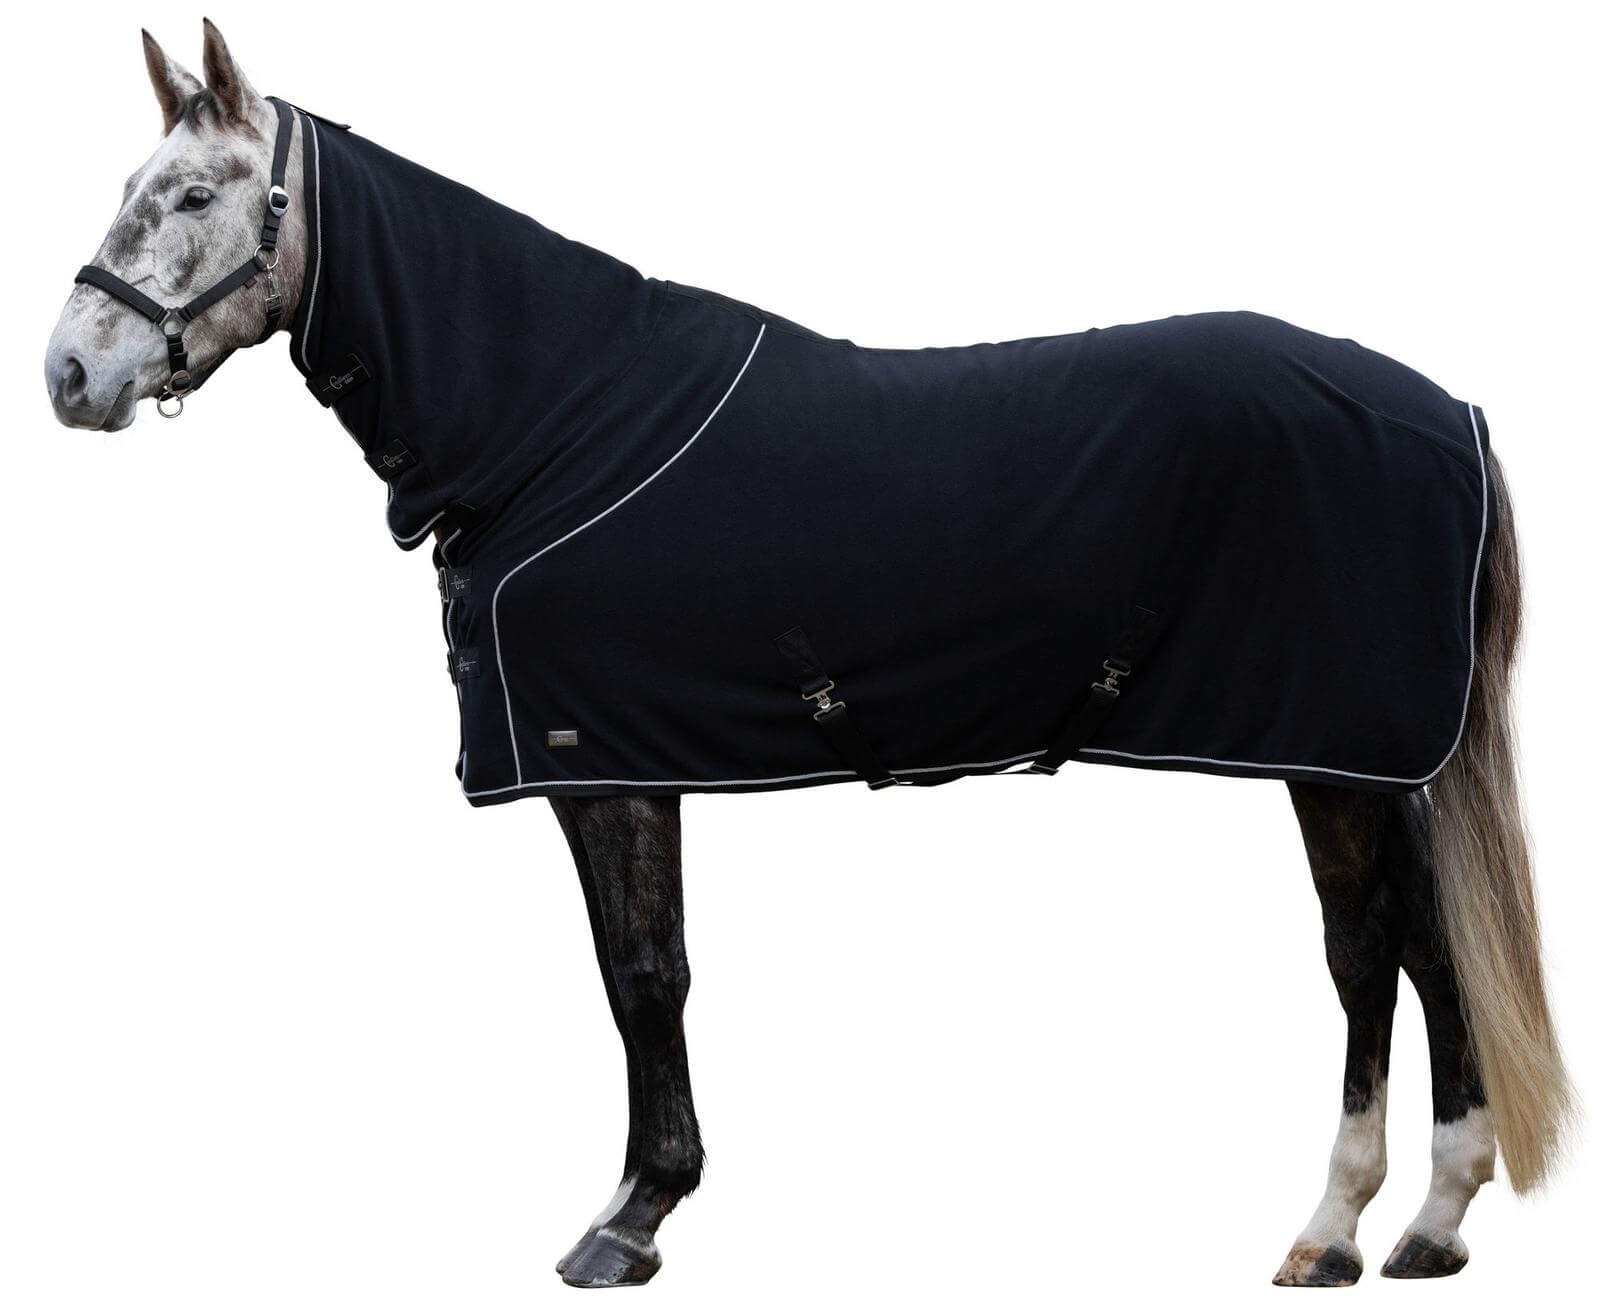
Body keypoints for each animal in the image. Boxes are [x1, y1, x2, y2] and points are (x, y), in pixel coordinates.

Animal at [44, 22, 1571, 1289]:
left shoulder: (601, 763)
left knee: (1368, 953)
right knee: (1429, 945)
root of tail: (1447, 410)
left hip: (1334, 754)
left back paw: (1335, 1223)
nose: (70, 374)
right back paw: (1430, 1223)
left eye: (194, 198)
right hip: (1371, 760)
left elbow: (640, 972)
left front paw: (633, 1216)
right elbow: (643, 969)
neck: (557, 420)